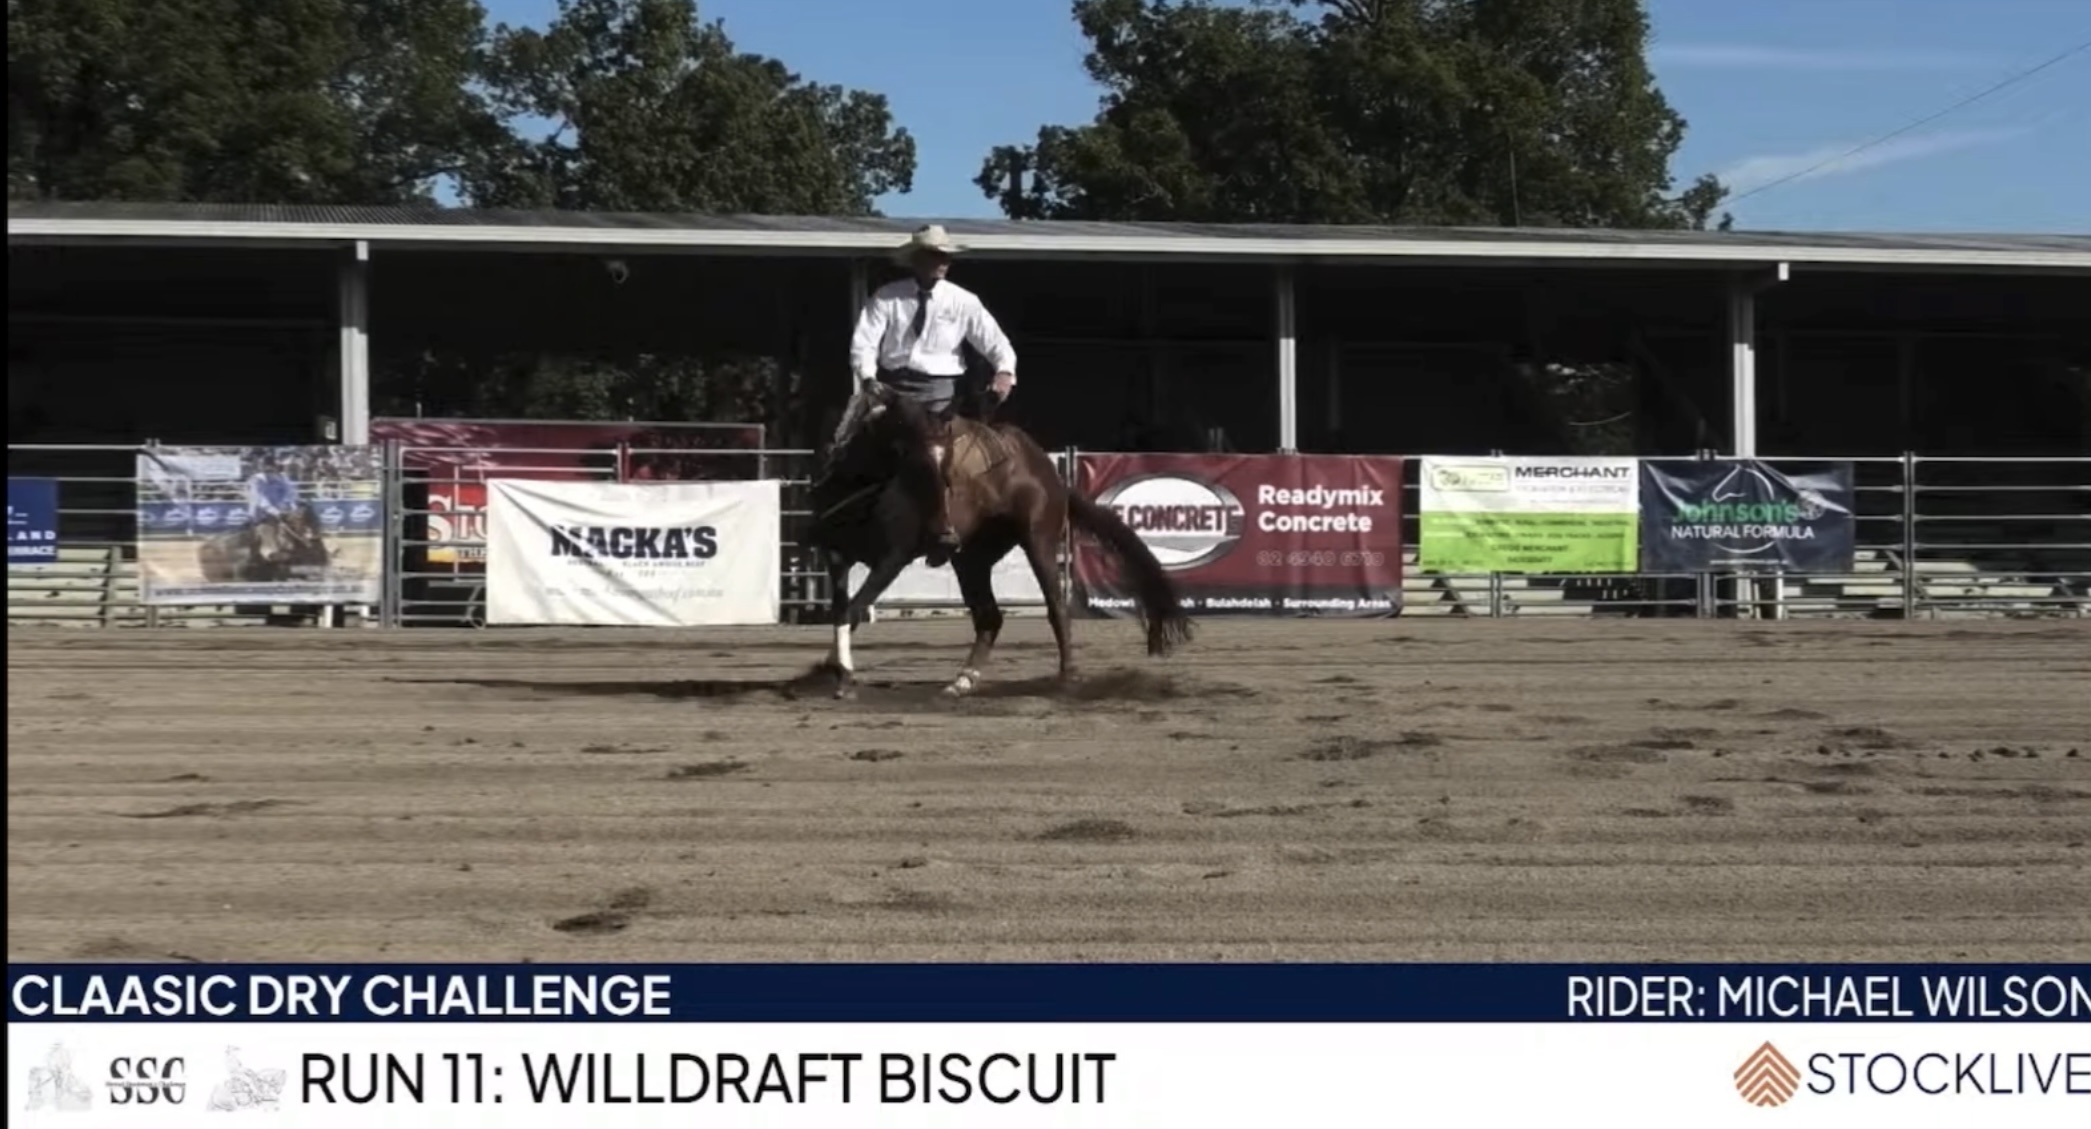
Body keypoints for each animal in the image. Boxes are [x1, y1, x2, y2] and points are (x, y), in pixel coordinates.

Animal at [804, 380, 1193, 700]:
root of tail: (1049, 472)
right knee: (989, 617)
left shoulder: (892, 559)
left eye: (944, 463)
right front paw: (829, 671)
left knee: (1056, 608)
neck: (860, 490)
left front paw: (841, 678)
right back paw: (963, 680)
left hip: (1038, 540)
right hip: (971, 559)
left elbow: (853, 609)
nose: (944, 530)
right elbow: (841, 611)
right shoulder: (836, 556)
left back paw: (1067, 678)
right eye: (910, 455)